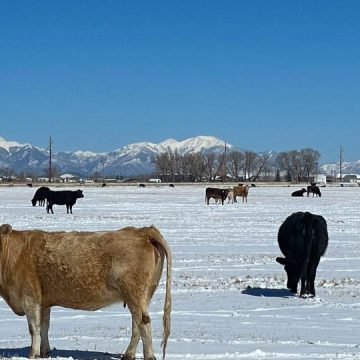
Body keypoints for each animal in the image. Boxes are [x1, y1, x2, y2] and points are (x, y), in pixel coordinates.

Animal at [0, 224, 173, 358]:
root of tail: (143, 231)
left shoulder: (30, 298)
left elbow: (33, 328)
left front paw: (33, 354)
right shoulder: (44, 302)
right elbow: (44, 326)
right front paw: (45, 352)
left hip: (134, 294)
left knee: (143, 324)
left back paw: (149, 356)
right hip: (143, 296)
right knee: (137, 324)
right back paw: (128, 355)